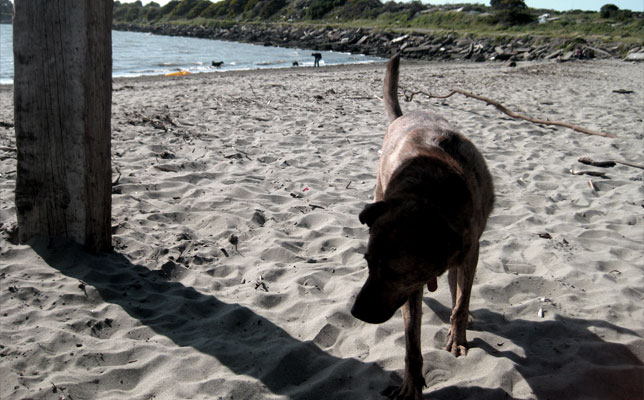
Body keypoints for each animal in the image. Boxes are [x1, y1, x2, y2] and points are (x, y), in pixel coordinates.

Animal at [352, 54, 494, 400]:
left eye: (395, 273)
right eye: (367, 263)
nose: (356, 313)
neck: (426, 198)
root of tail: (405, 116)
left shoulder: (468, 250)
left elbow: (461, 300)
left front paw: (458, 334)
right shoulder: (411, 289)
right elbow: (411, 340)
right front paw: (411, 383)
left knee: (459, 287)